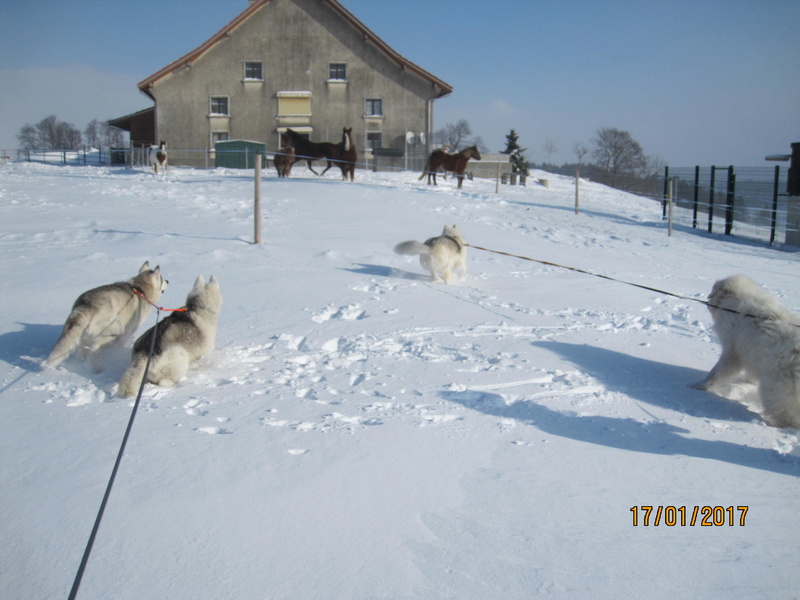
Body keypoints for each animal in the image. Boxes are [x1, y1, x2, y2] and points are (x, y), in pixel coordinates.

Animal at [692, 274, 800, 428]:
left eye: (713, 291)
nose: (707, 301)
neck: (735, 305)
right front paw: (749, 381)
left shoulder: (732, 351)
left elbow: (716, 373)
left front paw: (700, 386)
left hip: (775, 390)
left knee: (786, 417)